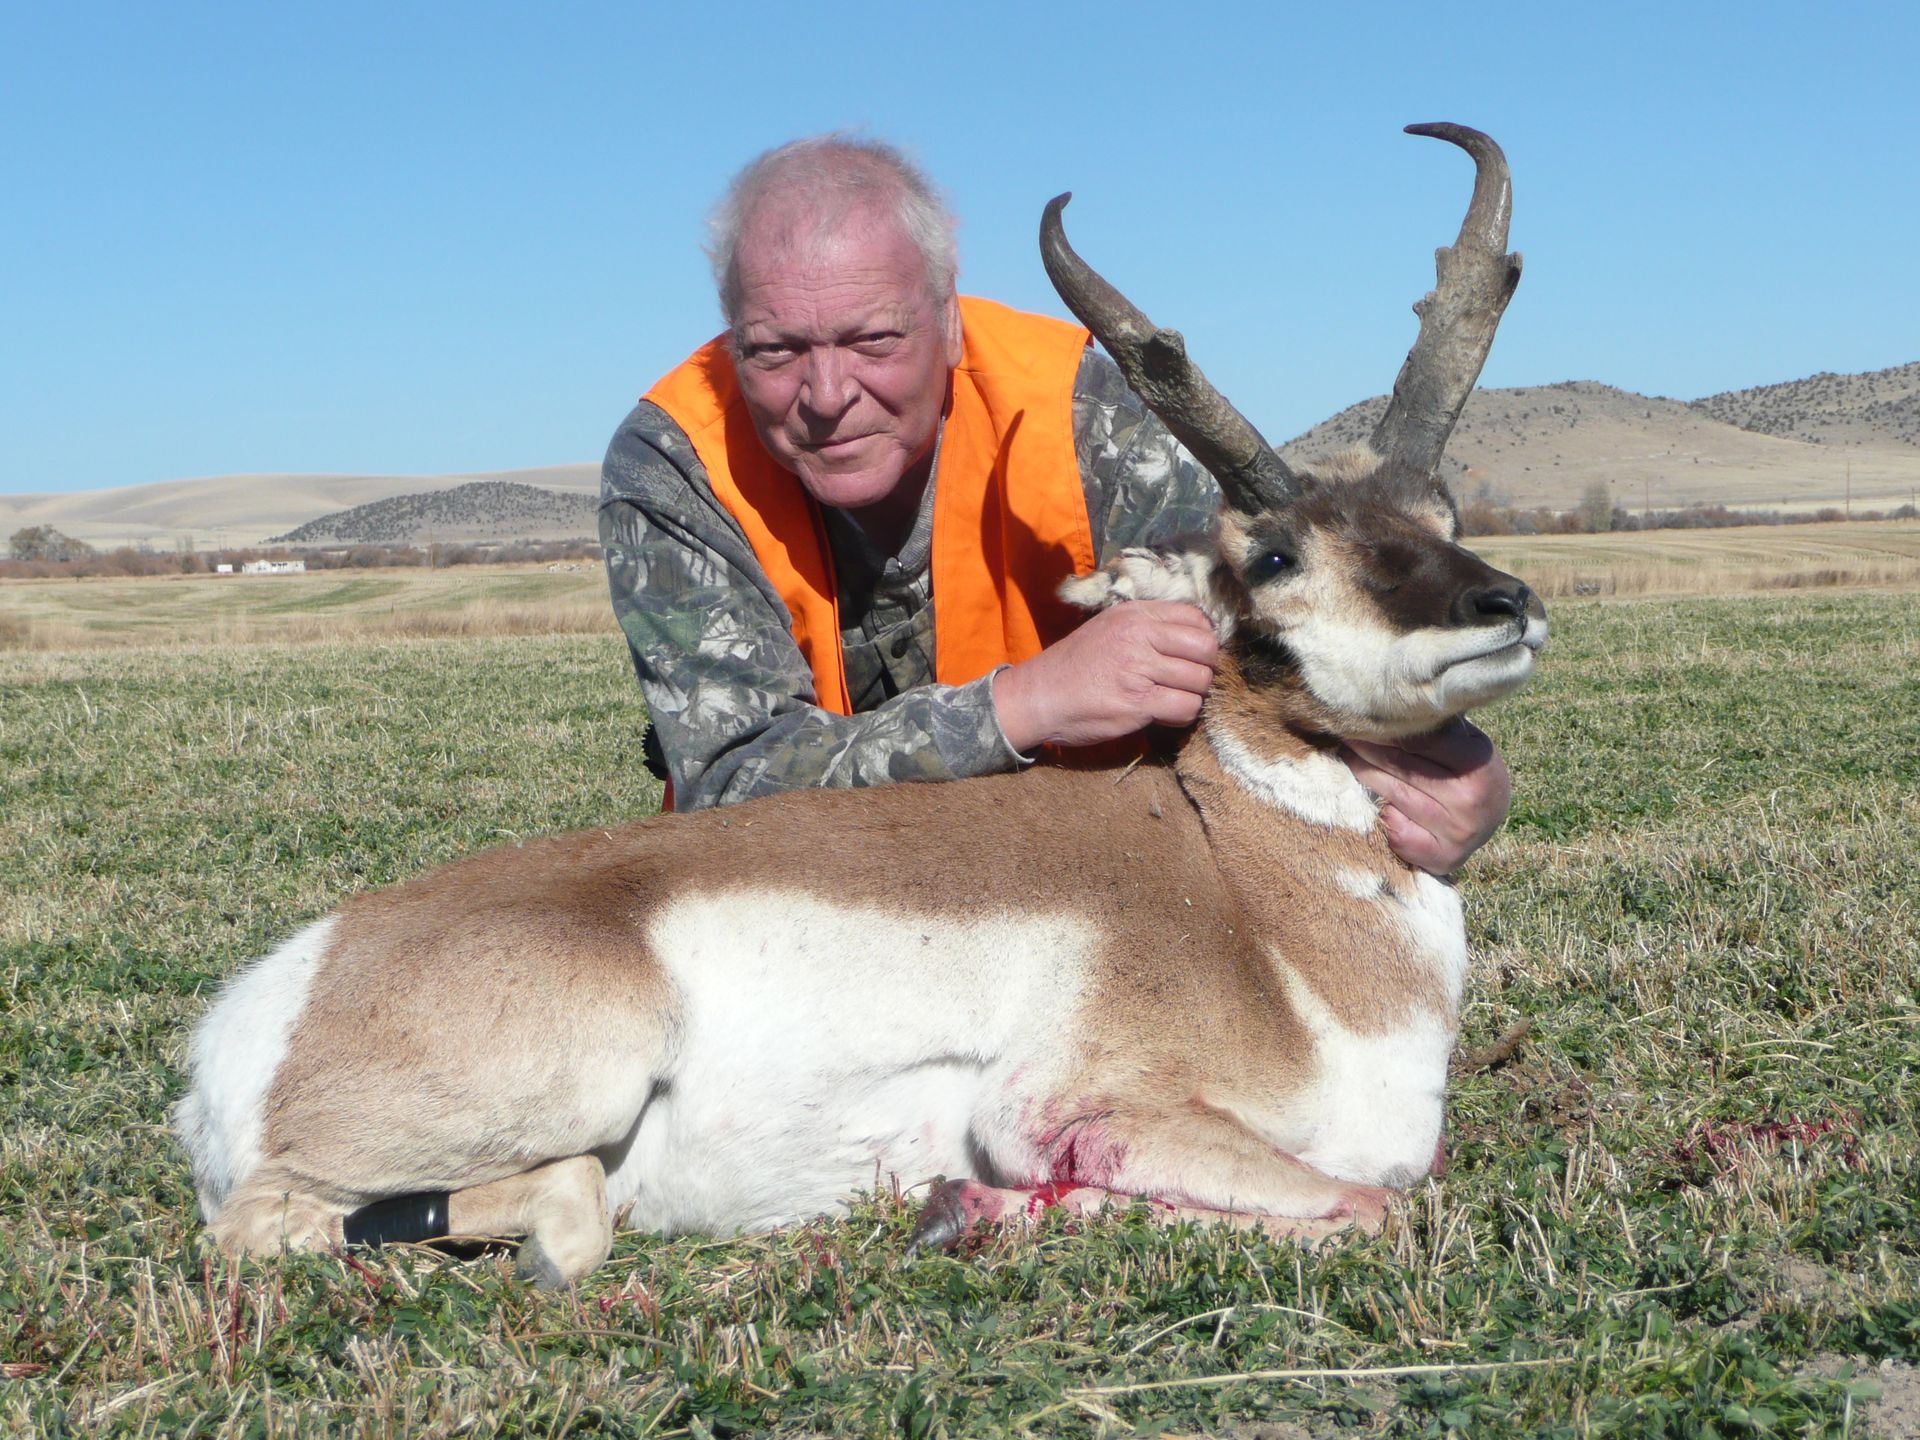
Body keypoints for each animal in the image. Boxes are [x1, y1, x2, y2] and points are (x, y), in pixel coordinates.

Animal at [174, 123, 1542, 1288]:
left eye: (1440, 513)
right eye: (1271, 556)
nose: (1506, 604)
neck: (1252, 903)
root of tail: (270, 1001)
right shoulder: (1075, 1107)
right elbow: (1371, 1206)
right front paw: (962, 1209)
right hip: (575, 1083)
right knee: (300, 1223)